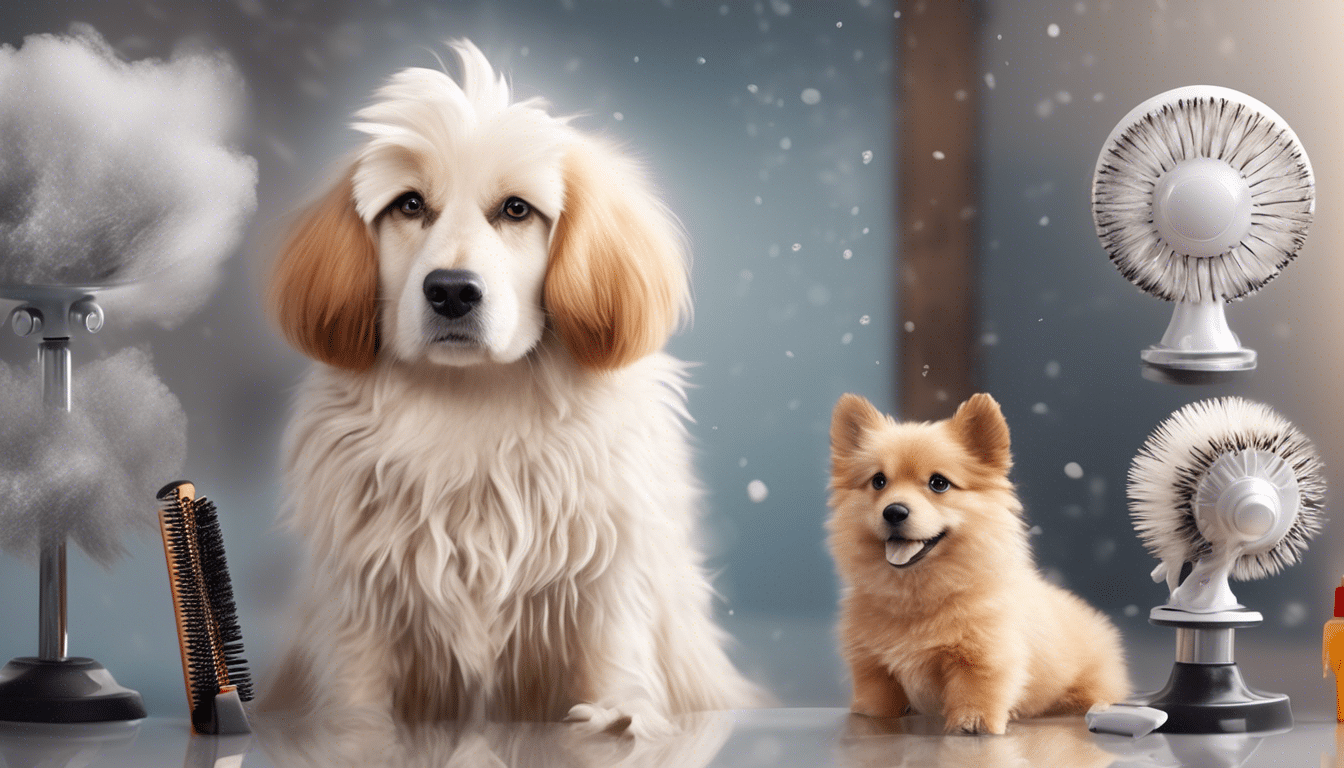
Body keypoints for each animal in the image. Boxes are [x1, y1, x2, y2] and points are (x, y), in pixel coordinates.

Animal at [264, 39, 758, 737]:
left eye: (517, 209)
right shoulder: (362, 589)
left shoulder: (608, 573)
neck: (473, 403)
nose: (451, 291)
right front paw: (352, 728)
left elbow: (612, 652)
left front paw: (617, 716)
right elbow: (358, 681)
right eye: (409, 204)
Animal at [822, 392, 1128, 737]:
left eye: (939, 483)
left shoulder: (983, 656)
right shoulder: (872, 666)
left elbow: (976, 690)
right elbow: (877, 703)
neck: (917, 596)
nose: (894, 511)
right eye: (878, 481)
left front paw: (972, 723)